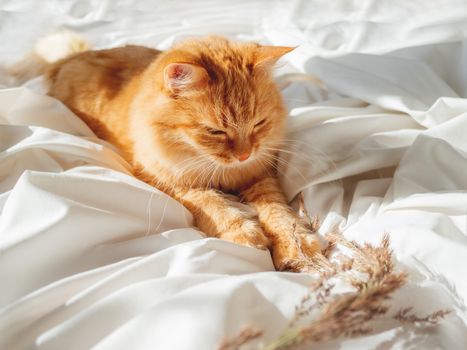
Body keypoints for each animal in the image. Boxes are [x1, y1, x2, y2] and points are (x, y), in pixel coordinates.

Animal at [14, 32, 324, 270]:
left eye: (259, 123)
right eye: (216, 131)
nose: (244, 155)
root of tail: (69, 59)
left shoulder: (259, 175)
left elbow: (279, 213)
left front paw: (296, 246)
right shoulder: (170, 181)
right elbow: (212, 205)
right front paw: (245, 233)